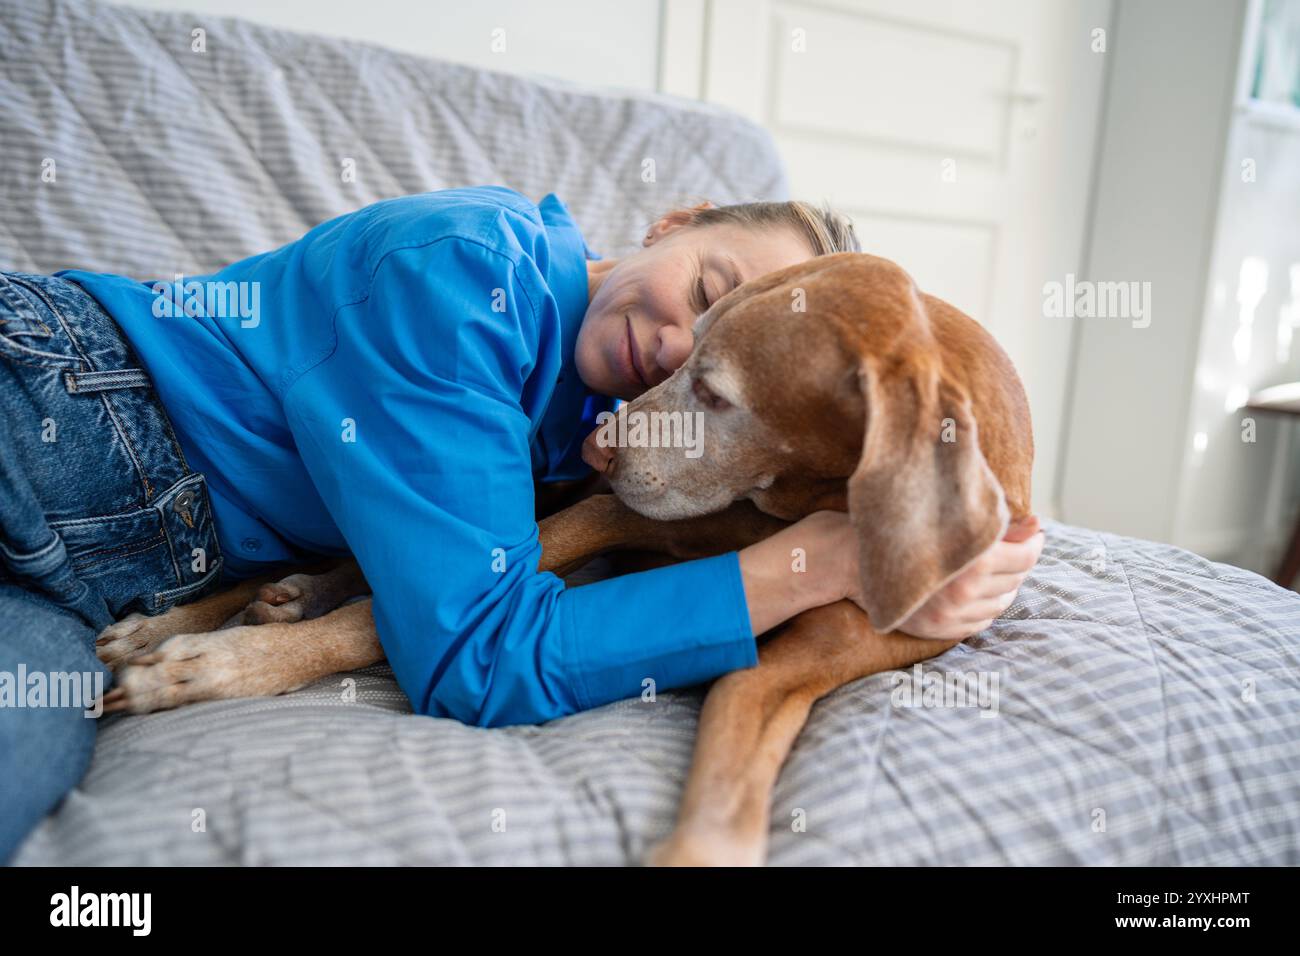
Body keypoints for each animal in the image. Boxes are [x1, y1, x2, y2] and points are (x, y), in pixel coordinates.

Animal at [94, 252, 1034, 868]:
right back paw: (187, 622)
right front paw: (213, 664)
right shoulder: (603, 513)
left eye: (715, 392)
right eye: (687, 344)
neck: (813, 501)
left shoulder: (819, 653)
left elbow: (741, 732)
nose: (599, 445)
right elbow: (398, 617)